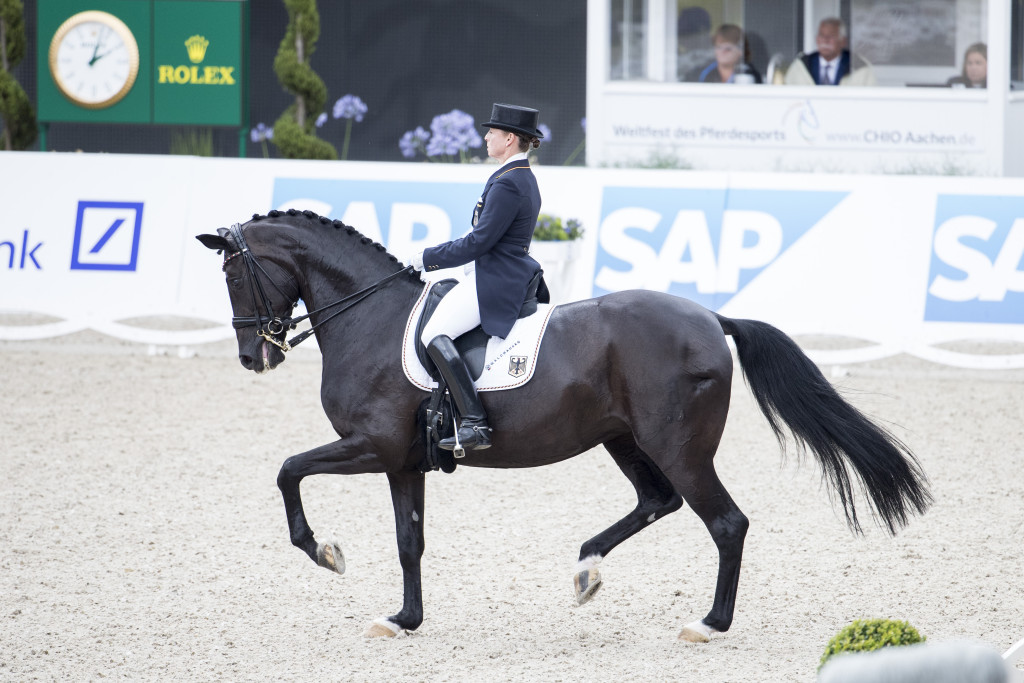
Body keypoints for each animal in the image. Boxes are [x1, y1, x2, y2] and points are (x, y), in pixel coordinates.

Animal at [195, 208, 933, 643]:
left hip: (677, 446)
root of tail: (710, 318)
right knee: (657, 500)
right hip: (623, 439)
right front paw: (404, 618)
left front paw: (324, 550)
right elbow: (410, 543)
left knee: (725, 522)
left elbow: (288, 470)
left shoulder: (370, 446)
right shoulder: (402, 461)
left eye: (233, 274)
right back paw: (586, 569)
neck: (369, 319)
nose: (253, 356)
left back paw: (709, 623)